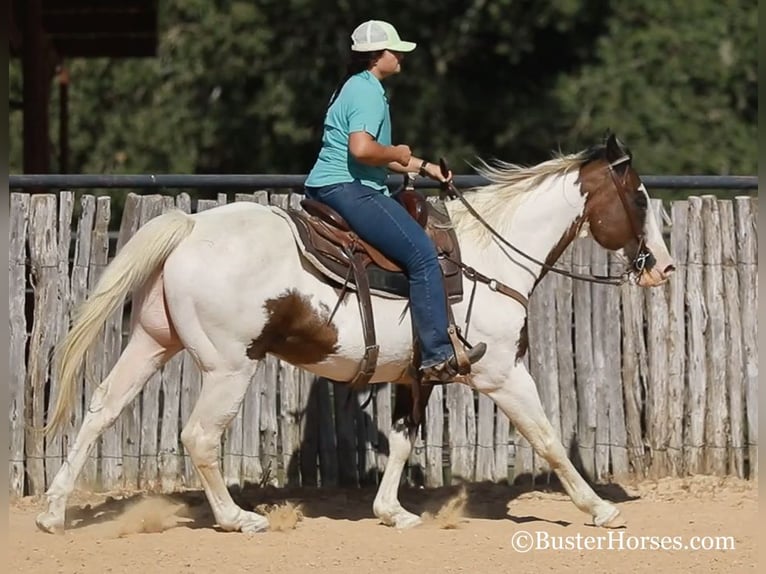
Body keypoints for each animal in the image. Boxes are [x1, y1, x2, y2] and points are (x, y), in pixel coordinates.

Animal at [36, 134, 676, 536]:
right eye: (640, 197)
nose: (664, 268)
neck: (491, 257)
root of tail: (190, 226)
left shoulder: (417, 375)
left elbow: (403, 440)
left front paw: (393, 512)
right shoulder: (501, 373)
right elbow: (546, 438)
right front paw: (599, 508)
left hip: (151, 342)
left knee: (101, 409)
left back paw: (52, 511)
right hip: (229, 367)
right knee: (198, 436)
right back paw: (238, 518)